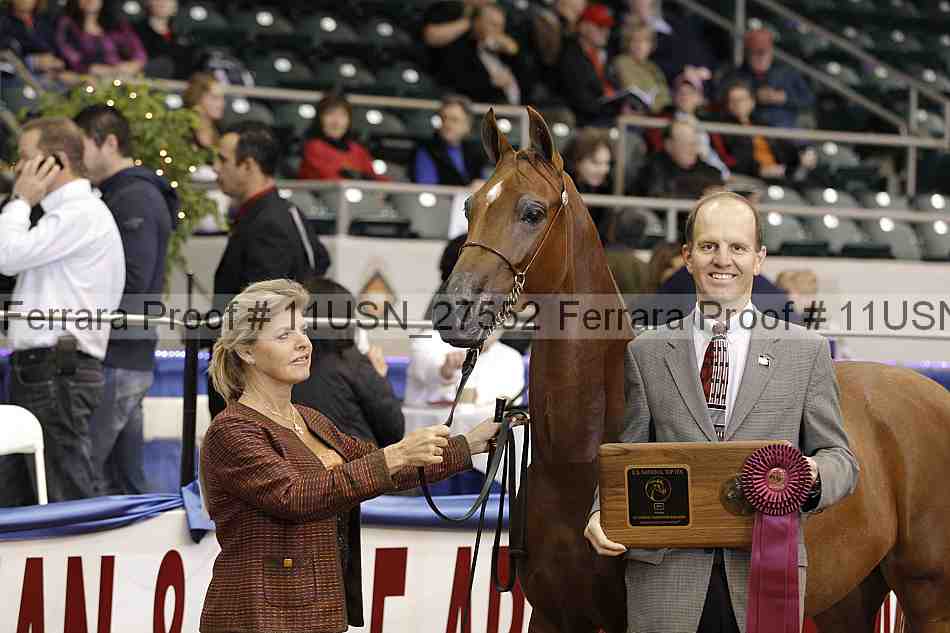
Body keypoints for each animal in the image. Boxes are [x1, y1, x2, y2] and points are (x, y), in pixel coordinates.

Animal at [438, 106, 950, 633]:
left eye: (532, 212)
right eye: (470, 207)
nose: (453, 310)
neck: (575, 456)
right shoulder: (552, 617)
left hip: (929, 594)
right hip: (847, 598)